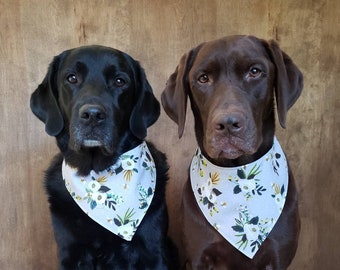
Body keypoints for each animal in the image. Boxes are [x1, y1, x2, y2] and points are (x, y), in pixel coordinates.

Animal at [30, 45, 177, 268]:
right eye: (72, 78)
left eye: (120, 81)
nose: (92, 115)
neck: (97, 176)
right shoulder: (70, 253)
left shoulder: (153, 252)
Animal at [162, 35, 302, 268]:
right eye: (203, 78)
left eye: (254, 71)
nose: (227, 123)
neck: (239, 172)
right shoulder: (199, 257)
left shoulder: (278, 258)